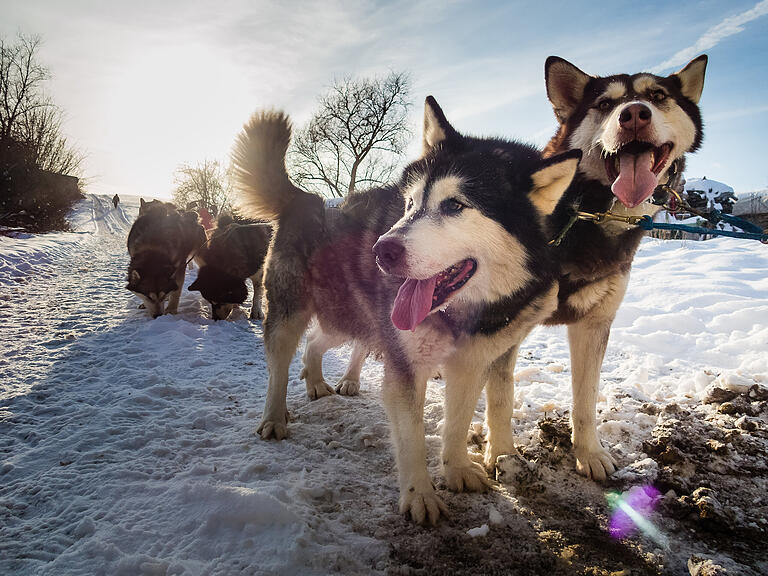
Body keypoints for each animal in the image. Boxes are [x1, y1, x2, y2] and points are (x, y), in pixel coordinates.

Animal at [484, 57, 712, 482]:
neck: (582, 213)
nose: (634, 114)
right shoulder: (506, 318)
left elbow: (586, 400)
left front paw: (589, 454)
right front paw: (502, 455)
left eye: (658, 96)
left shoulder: (594, 324)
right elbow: (501, 393)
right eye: (605, 104)